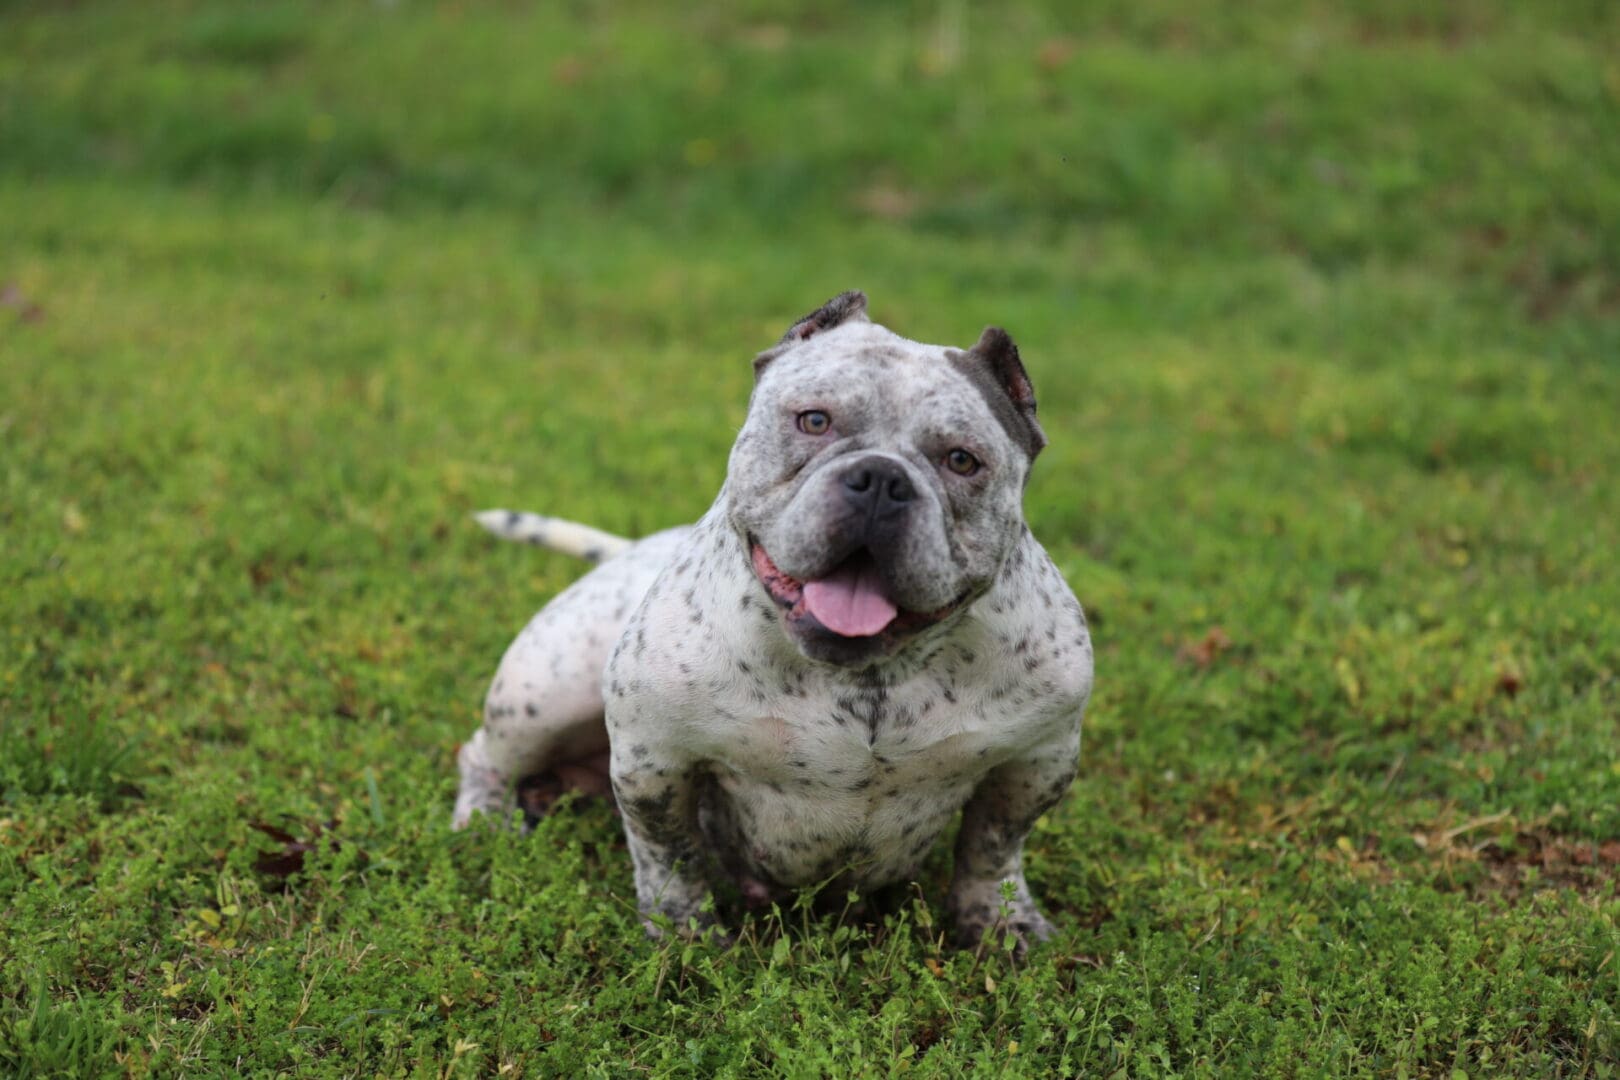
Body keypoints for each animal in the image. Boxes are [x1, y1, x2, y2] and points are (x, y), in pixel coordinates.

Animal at [450, 291, 1095, 952]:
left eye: (962, 460)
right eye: (814, 421)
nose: (882, 479)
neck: (869, 677)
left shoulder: (1035, 761)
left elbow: (993, 849)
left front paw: (1001, 922)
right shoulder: (654, 759)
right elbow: (670, 854)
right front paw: (684, 934)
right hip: (540, 696)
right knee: (483, 754)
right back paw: (483, 818)